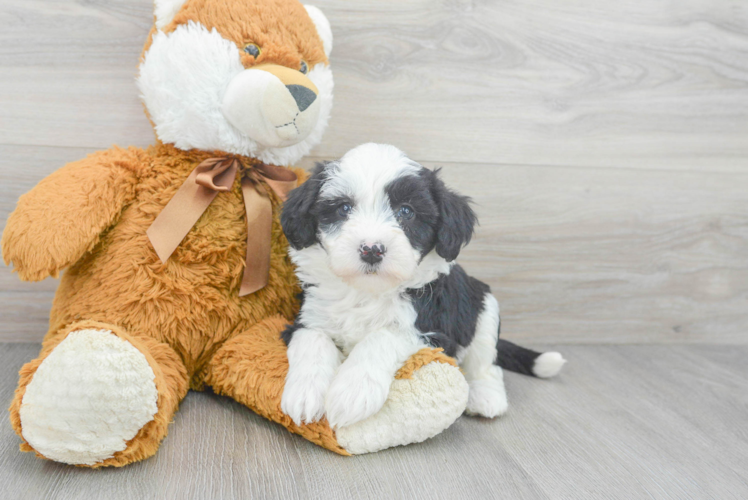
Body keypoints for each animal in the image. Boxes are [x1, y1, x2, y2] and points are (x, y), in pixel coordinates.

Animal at [280, 143, 568, 428]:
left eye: (406, 211)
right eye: (343, 208)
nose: (371, 249)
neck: (368, 291)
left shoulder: (435, 332)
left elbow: (383, 336)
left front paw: (353, 392)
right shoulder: (308, 316)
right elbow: (312, 340)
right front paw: (304, 393)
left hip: (484, 307)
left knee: (487, 362)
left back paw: (485, 397)